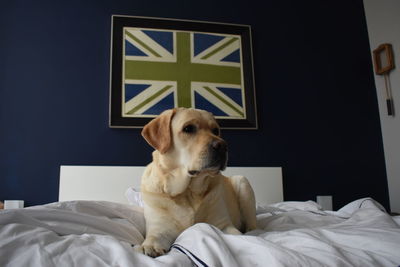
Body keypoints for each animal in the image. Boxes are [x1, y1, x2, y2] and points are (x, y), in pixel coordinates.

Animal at [137, 108, 256, 258]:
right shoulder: (159, 227)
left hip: (242, 182)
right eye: (188, 128)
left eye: (215, 130)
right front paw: (150, 247)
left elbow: (236, 235)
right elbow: (153, 237)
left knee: (253, 224)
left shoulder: (223, 225)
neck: (188, 191)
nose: (223, 146)